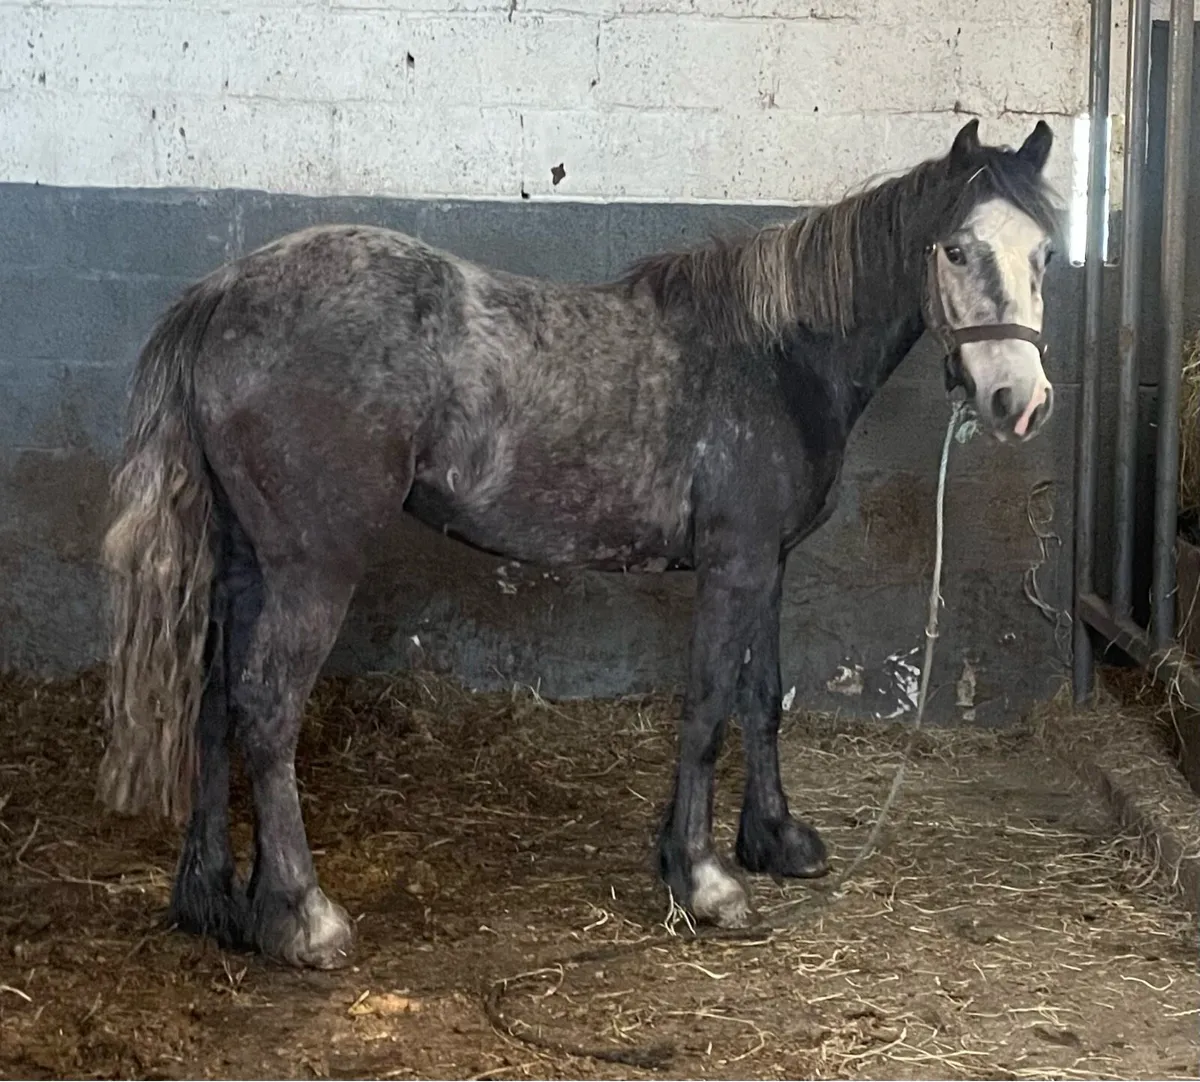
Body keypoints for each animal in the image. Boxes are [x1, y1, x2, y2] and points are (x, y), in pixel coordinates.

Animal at [97, 118, 1062, 969]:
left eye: (1045, 254)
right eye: (955, 250)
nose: (1019, 401)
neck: (775, 357)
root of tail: (223, 291)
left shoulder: (768, 565)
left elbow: (763, 697)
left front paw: (776, 839)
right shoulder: (734, 564)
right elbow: (709, 706)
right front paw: (701, 878)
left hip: (245, 563)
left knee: (215, 700)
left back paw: (214, 898)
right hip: (313, 567)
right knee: (267, 709)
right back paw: (303, 916)